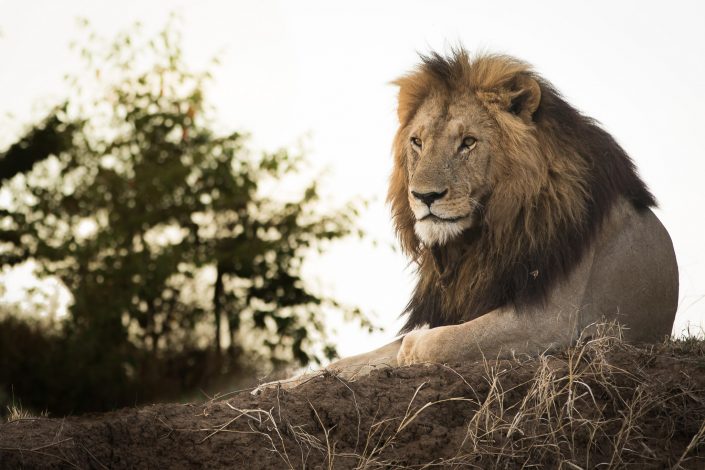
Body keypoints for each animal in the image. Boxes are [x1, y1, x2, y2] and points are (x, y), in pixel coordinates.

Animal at [256, 49, 680, 392]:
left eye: (468, 143)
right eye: (417, 142)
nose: (424, 197)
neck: (478, 242)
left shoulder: (553, 320)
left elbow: (430, 343)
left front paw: (411, 350)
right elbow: (351, 361)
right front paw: (276, 387)